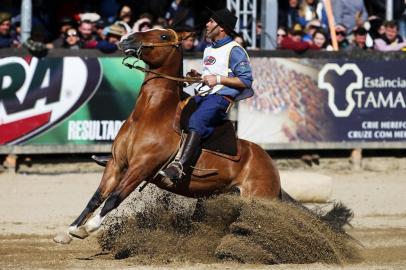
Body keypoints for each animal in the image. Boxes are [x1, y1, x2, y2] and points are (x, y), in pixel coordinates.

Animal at [54, 28, 350, 245]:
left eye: (164, 36)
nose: (127, 39)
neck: (150, 115)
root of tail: (272, 169)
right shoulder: (117, 164)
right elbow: (96, 197)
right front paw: (70, 230)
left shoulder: (141, 167)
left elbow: (114, 197)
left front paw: (90, 227)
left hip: (256, 199)